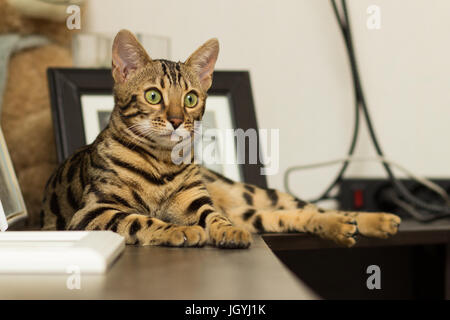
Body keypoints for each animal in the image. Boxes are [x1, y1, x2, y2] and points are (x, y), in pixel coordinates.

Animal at [41, 30, 400, 249]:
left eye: (190, 99)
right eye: (154, 96)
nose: (176, 121)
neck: (160, 164)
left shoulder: (197, 202)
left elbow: (213, 216)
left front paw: (224, 230)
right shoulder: (93, 213)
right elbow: (139, 220)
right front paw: (179, 230)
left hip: (250, 194)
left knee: (308, 208)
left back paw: (368, 220)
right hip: (253, 211)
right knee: (292, 218)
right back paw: (342, 226)